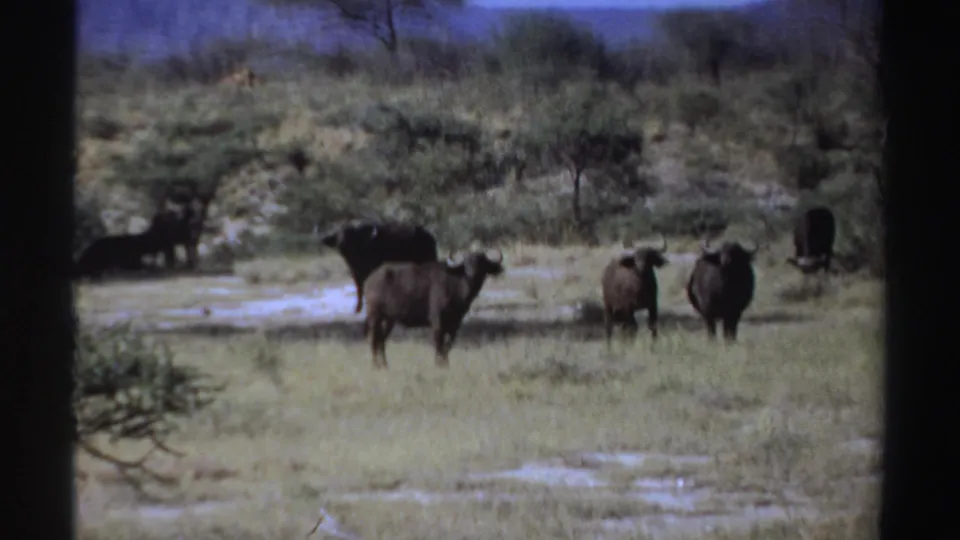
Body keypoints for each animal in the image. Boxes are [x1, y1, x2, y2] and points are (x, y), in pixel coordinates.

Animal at [362, 249, 505, 369]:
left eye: (482, 262)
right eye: (466, 262)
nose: (472, 273)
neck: (456, 285)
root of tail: (370, 279)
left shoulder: (456, 323)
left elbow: (448, 344)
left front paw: (446, 364)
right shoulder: (437, 320)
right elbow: (439, 342)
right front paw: (438, 364)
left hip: (389, 319)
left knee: (381, 339)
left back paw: (385, 365)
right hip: (374, 314)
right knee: (372, 337)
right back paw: (376, 365)